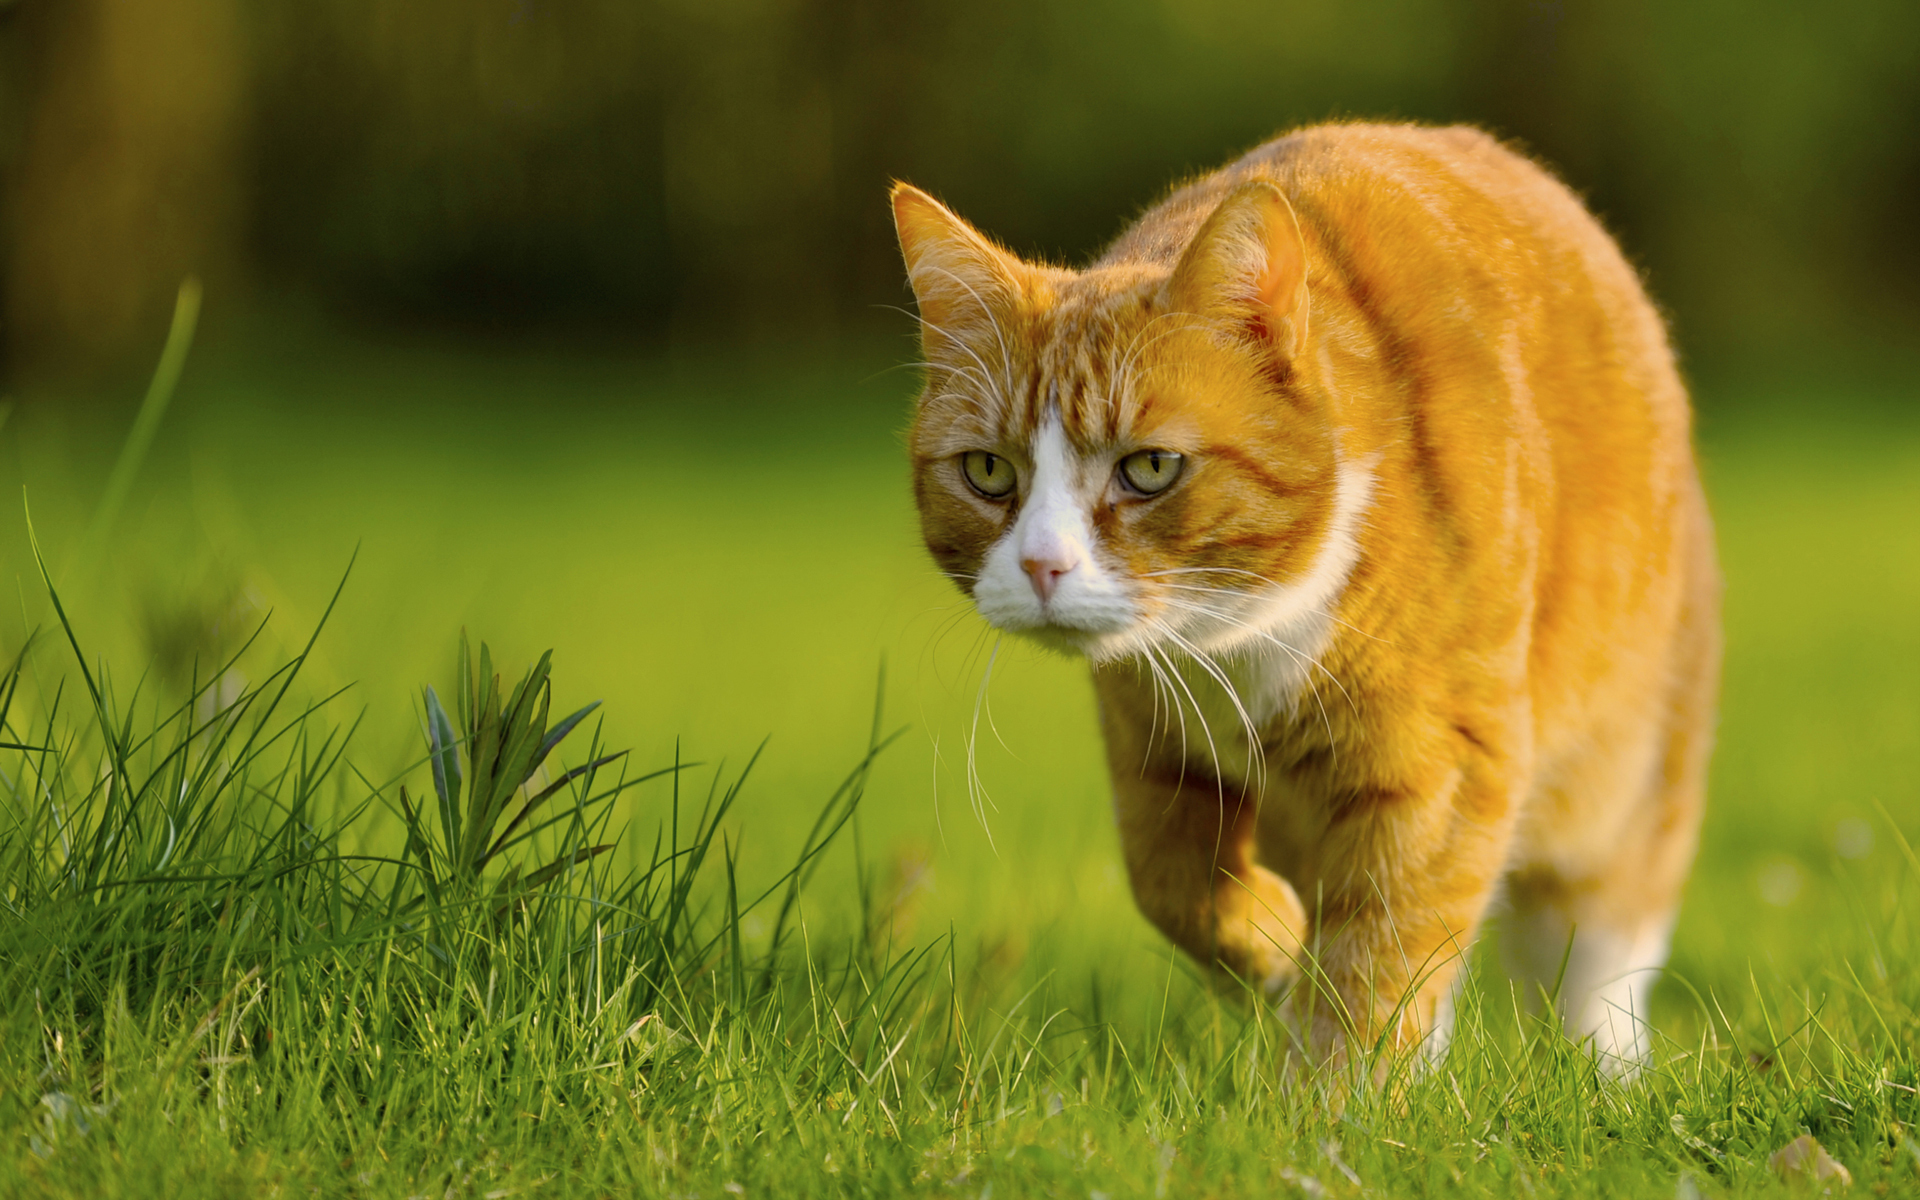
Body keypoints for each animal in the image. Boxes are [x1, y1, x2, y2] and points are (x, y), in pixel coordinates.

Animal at [890, 123, 1720, 1075]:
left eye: (1150, 467)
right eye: (990, 471)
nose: (1042, 565)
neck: (1229, 649)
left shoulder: (1439, 769)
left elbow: (1376, 959)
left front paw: (1335, 1097)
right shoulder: (1147, 743)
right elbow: (1170, 883)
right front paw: (1276, 947)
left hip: (1627, 767)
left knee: (1594, 950)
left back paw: (1604, 1072)